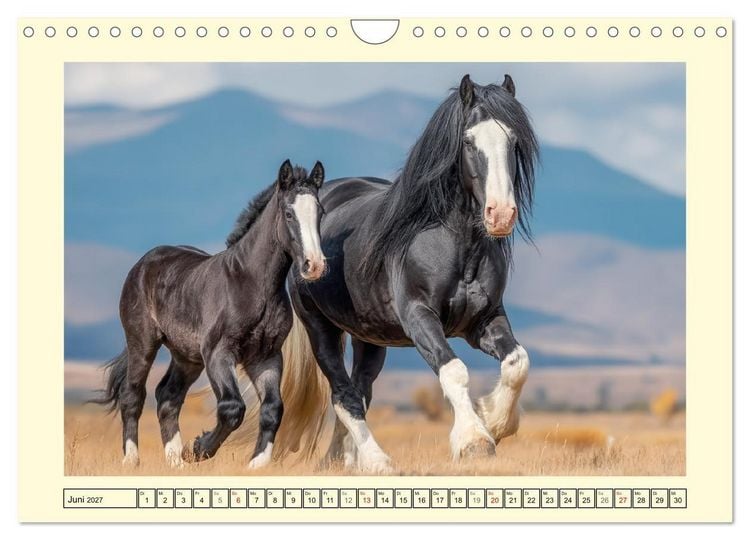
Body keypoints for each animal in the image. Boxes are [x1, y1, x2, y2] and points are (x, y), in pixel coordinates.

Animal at [92, 159, 327, 469]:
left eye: (320, 213)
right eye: (289, 213)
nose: (314, 265)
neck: (252, 284)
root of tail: (143, 264)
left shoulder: (266, 356)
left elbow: (273, 408)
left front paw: (256, 464)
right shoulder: (218, 353)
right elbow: (232, 407)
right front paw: (198, 449)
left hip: (187, 356)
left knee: (168, 397)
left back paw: (175, 462)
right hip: (142, 343)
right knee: (133, 395)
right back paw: (132, 460)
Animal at [249, 74, 539, 473]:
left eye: (512, 141)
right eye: (468, 141)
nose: (500, 215)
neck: (452, 243)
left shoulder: (484, 319)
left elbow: (517, 362)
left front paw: (495, 421)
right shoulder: (420, 317)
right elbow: (454, 370)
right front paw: (474, 441)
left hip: (370, 339)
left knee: (359, 391)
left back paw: (342, 461)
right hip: (321, 329)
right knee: (343, 394)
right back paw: (374, 460)